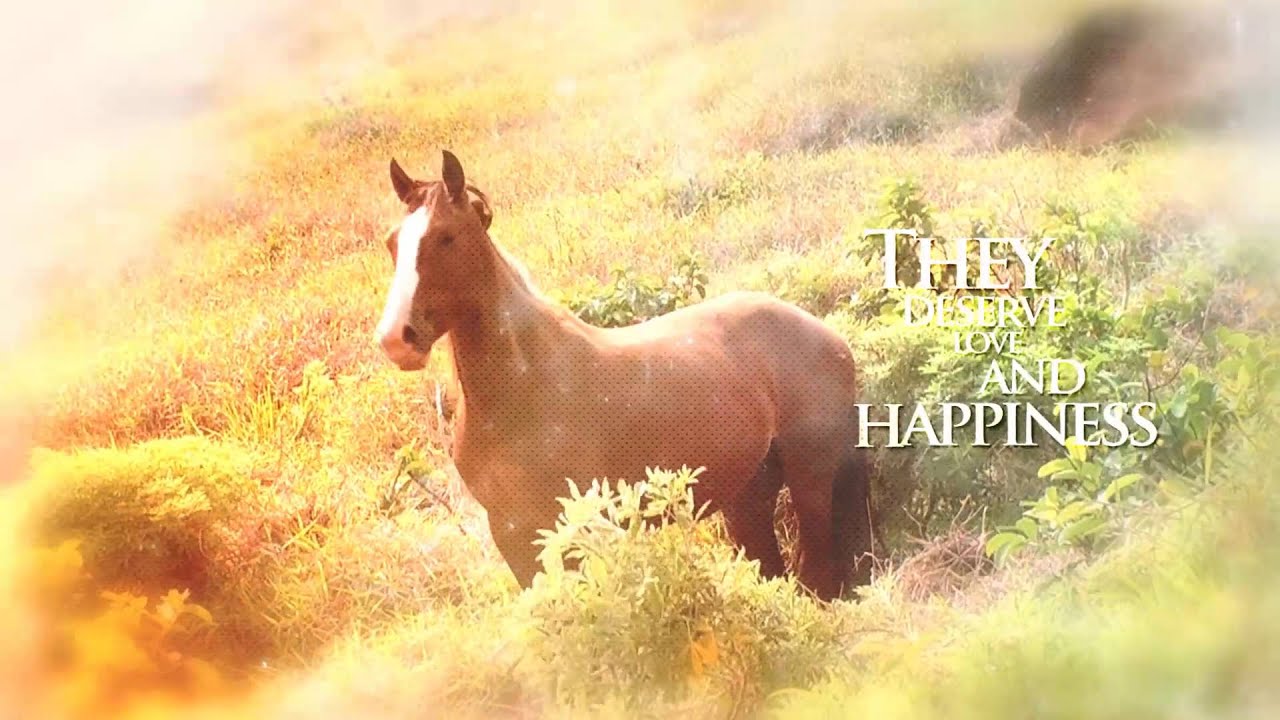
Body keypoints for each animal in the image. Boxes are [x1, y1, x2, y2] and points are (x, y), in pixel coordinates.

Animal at [374, 150, 875, 600]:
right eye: (393, 242)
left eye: (446, 237)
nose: (397, 338)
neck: (521, 390)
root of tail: (830, 336)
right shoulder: (512, 532)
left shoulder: (569, 522)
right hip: (748, 494)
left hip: (809, 478)